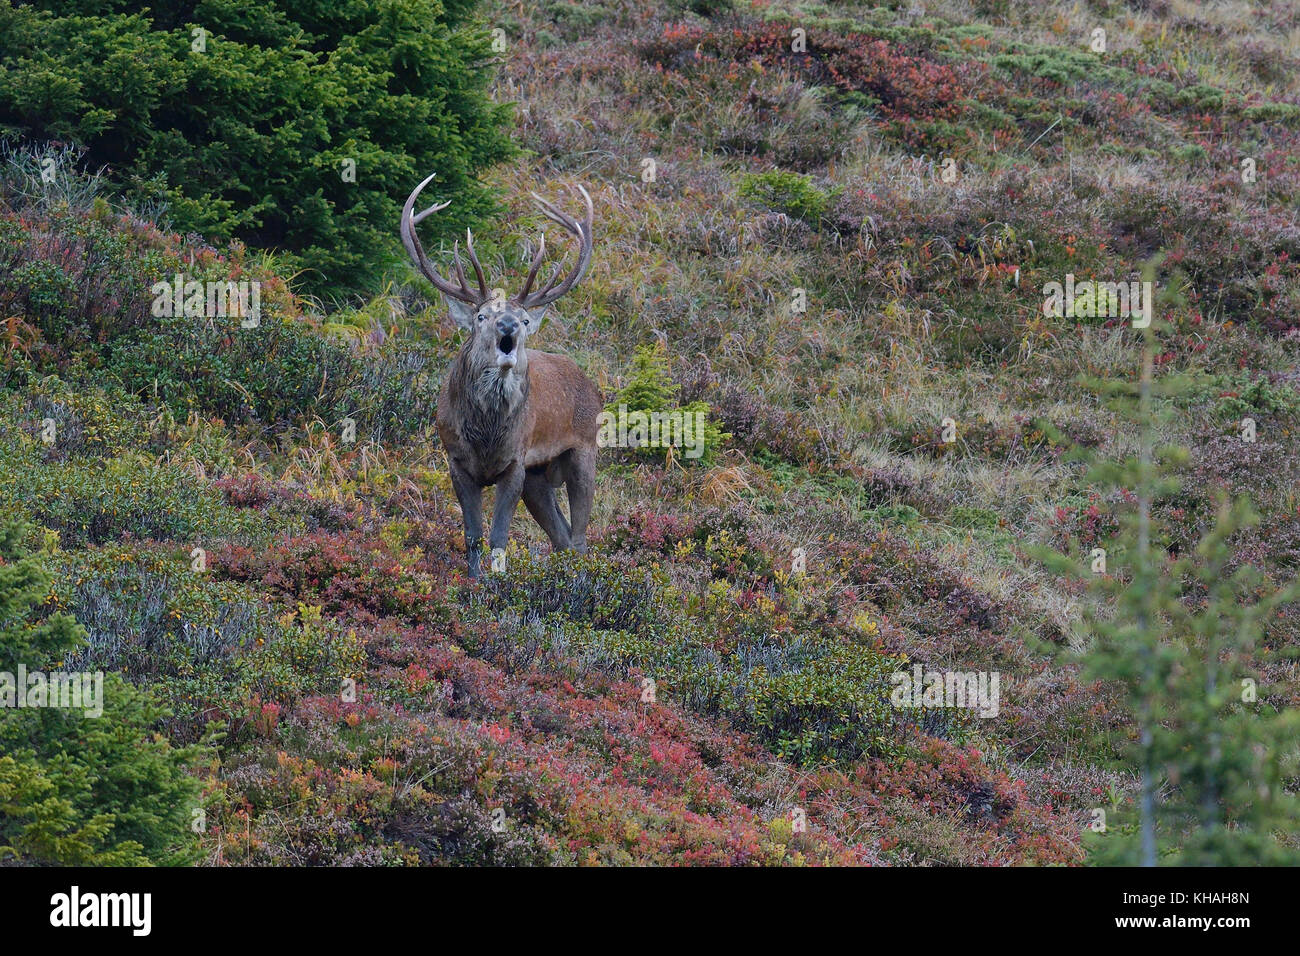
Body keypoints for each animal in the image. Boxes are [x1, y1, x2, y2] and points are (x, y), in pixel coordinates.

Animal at [401, 172, 601, 579]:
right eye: (481, 316)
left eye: (524, 320)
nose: (508, 325)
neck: (487, 435)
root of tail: (593, 387)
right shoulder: (456, 460)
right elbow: (473, 536)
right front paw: (474, 581)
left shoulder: (515, 463)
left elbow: (499, 537)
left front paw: (497, 580)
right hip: (539, 476)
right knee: (561, 536)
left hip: (583, 449)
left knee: (579, 538)